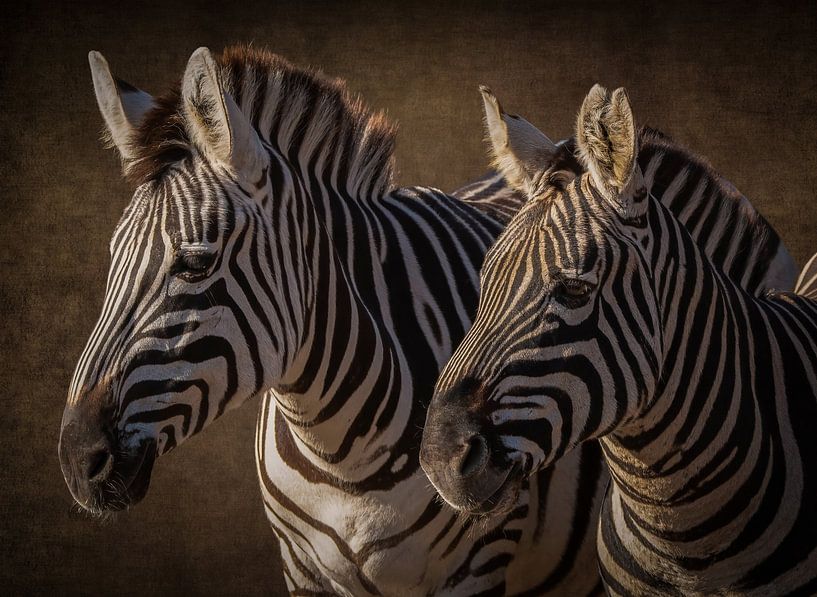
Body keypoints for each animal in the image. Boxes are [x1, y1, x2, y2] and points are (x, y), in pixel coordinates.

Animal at [57, 45, 605, 595]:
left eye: (194, 264)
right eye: (113, 257)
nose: (79, 462)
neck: (340, 456)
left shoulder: (479, 560)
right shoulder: (300, 566)